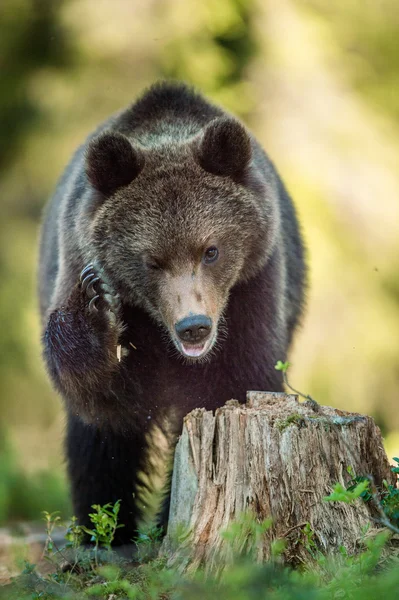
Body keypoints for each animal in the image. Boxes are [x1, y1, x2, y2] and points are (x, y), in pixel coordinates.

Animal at [38, 81, 306, 544]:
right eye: (152, 260)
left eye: (211, 250)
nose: (194, 326)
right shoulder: (76, 259)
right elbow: (109, 404)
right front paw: (96, 307)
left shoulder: (253, 291)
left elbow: (230, 387)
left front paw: (173, 518)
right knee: (95, 446)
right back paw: (104, 532)